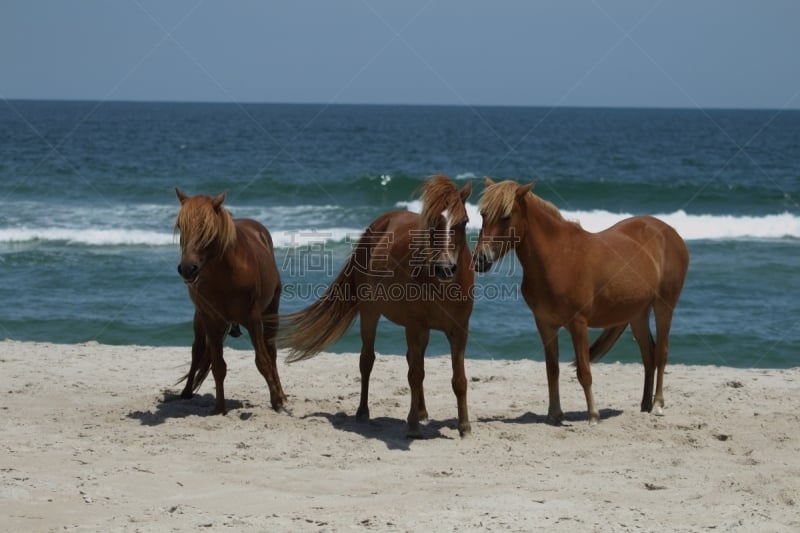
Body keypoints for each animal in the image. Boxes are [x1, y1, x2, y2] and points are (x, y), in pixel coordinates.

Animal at [175, 189, 288, 414]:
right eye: (181, 226)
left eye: (206, 227)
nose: (187, 269)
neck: (226, 273)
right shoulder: (210, 320)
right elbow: (218, 366)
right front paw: (219, 408)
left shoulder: (254, 318)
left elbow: (263, 361)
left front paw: (277, 402)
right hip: (199, 319)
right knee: (197, 350)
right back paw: (186, 392)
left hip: (271, 312)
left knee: (271, 353)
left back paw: (280, 394)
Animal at [280, 175, 472, 436]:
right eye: (432, 222)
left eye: (464, 221)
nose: (445, 268)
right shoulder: (416, 326)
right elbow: (415, 374)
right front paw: (413, 425)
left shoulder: (459, 331)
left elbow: (458, 379)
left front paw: (464, 426)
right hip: (370, 313)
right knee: (367, 360)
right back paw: (364, 413)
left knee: (411, 360)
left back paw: (422, 412)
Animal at [472, 179, 692, 424]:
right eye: (483, 214)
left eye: (506, 216)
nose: (480, 259)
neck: (557, 258)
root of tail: (670, 232)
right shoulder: (545, 324)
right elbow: (552, 370)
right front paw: (554, 414)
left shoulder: (578, 324)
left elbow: (584, 372)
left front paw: (593, 415)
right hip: (638, 314)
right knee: (648, 355)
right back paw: (644, 405)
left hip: (664, 307)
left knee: (661, 353)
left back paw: (657, 404)